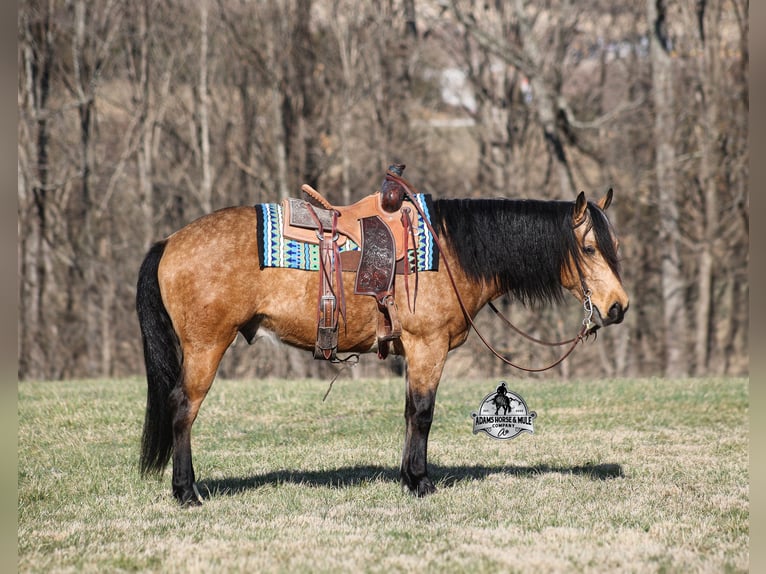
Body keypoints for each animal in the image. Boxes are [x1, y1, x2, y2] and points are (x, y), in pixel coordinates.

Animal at [136, 186, 628, 505]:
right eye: (589, 249)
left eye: (614, 246)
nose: (619, 307)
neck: (449, 253)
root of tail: (170, 241)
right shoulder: (428, 346)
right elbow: (424, 414)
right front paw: (422, 483)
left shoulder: (415, 351)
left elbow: (410, 413)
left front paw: (409, 478)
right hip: (206, 347)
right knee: (183, 410)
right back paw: (186, 492)